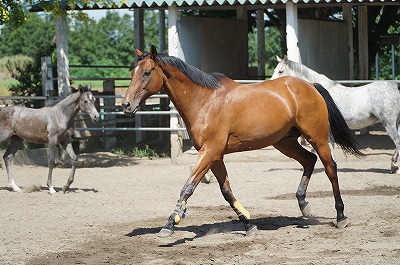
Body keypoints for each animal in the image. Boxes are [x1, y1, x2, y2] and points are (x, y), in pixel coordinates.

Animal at [122, 46, 362, 237]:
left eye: (146, 72)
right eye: (132, 72)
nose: (126, 105)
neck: (204, 101)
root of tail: (311, 86)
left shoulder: (209, 152)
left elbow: (188, 187)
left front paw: (171, 223)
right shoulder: (215, 156)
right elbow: (226, 191)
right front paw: (248, 224)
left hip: (317, 137)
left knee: (330, 168)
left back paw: (341, 216)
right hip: (285, 142)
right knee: (309, 160)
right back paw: (304, 205)